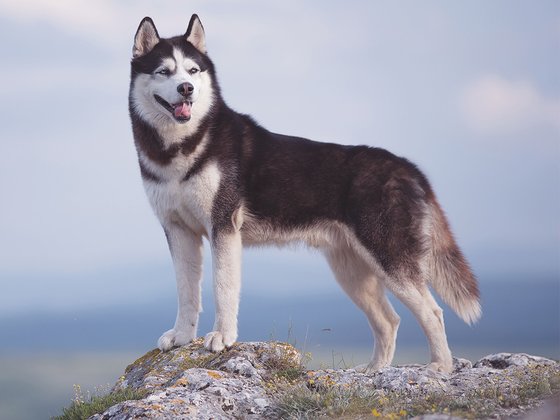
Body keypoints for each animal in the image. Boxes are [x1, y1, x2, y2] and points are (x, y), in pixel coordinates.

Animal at [129, 14, 480, 372]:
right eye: (164, 71)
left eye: (192, 70)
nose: (186, 89)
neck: (182, 146)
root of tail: (407, 166)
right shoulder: (178, 230)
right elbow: (186, 291)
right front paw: (182, 336)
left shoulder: (223, 226)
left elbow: (223, 287)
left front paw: (222, 337)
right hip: (351, 270)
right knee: (389, 320)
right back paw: (375, 371)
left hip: (390, 258)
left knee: (433, 312)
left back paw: (440, 367)